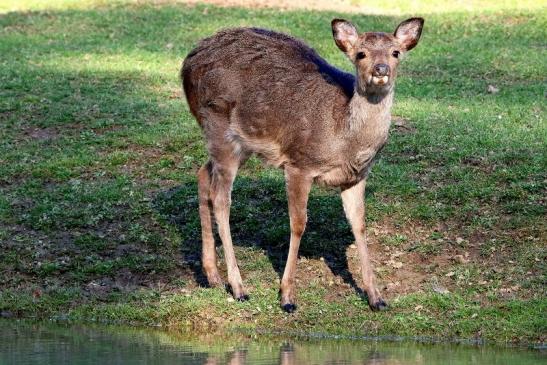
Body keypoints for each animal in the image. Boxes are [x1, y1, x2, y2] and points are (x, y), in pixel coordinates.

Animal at [182, 17, 426, 312]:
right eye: (361, 54)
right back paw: (239, 287)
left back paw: (212, 275)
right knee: (221, 199)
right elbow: (298, 223)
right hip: (219, 126)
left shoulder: (356, 176)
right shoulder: (299, 163)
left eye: (395, 52)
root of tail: (186, 65)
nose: (381, 70)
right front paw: (287, 296)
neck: (345, 140)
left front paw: (376, 297)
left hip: (239, 144)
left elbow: (359, 223)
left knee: (202, 174)